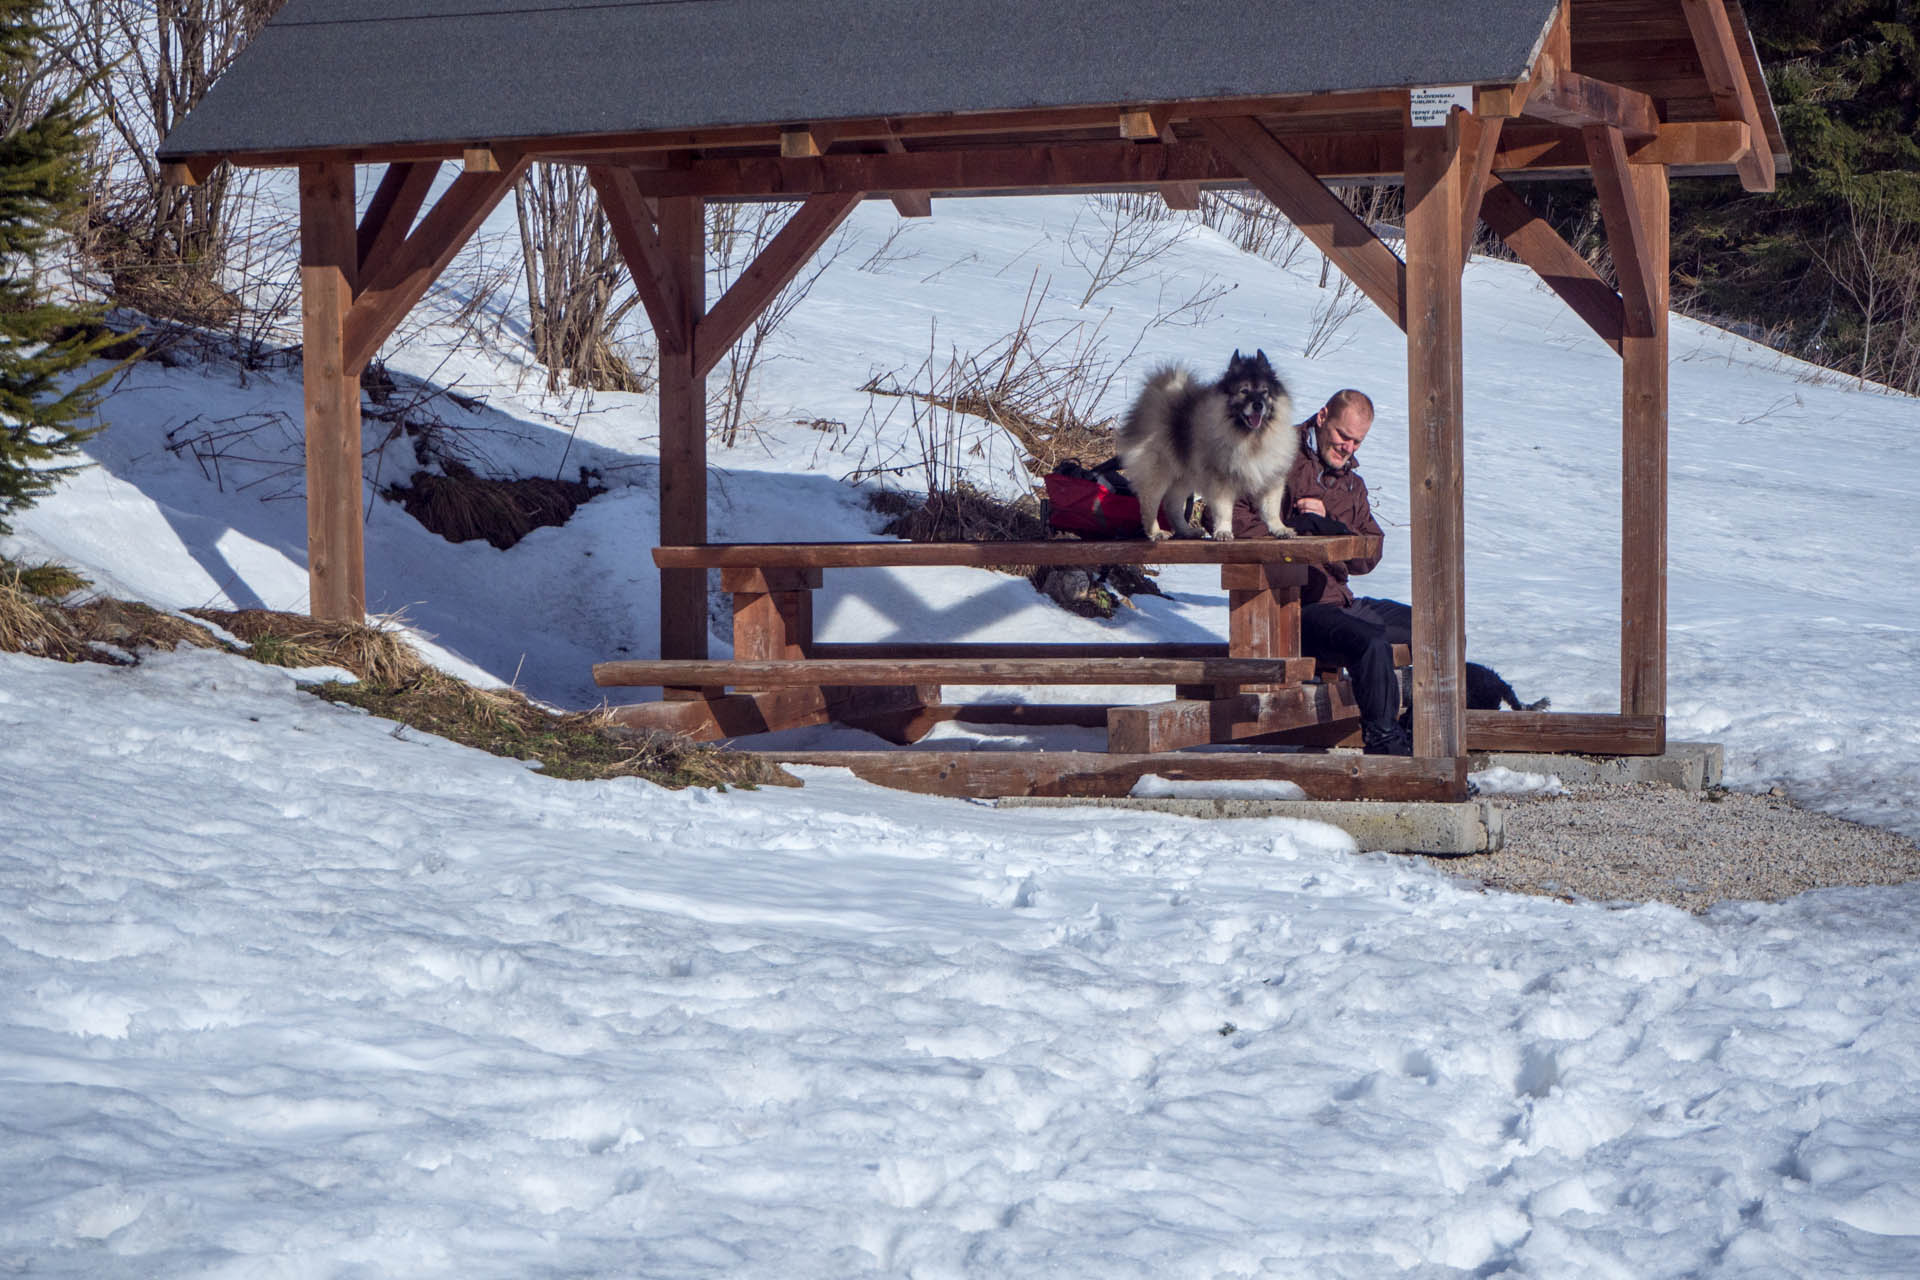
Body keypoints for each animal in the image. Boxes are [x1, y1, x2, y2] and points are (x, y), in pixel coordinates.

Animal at [1113, 347, 1290, 537]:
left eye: (1265, 391)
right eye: (1244, 391)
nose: (1258, 405)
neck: (1250, 437)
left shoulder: (1271, 477)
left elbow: (1271, 509)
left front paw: (1280, 528)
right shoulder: (1220, 479)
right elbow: (1224, 511)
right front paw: (1223, 532)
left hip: (1185, 476)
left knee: (1172, 505)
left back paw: (1186, 531)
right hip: (1160, 471)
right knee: (1150, 502)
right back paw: (1156, 532)